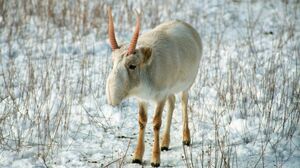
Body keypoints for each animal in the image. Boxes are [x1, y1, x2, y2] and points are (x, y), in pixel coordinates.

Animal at [105, 8, 202, 167]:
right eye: (112, 64)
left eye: (132, 65)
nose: (112, 96)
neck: (147, 69)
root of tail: (187, 26)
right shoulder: (142, 98)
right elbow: (142, 121)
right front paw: (137, 156)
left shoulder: (160, 96)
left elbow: (156, 123)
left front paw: (155, 159)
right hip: (170, 90)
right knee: (172, 103)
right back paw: (165, 143)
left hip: (187, 84)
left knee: (183, 101)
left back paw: (186, 138)